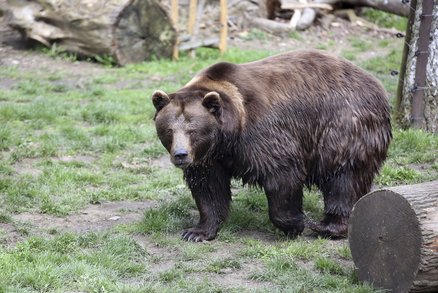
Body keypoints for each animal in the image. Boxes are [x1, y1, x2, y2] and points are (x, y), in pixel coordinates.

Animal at [152, 50, 392, 242]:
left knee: (344, 176)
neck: (229, 135)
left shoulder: (264, 135)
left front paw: (295, 224)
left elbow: (282, 175)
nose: (181, 155)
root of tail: (375, 83)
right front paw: (196, 232)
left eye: (193, 130)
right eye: (169, 130)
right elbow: (208, 189)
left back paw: (328, 226)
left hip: (344, 126)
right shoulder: (209, 158)